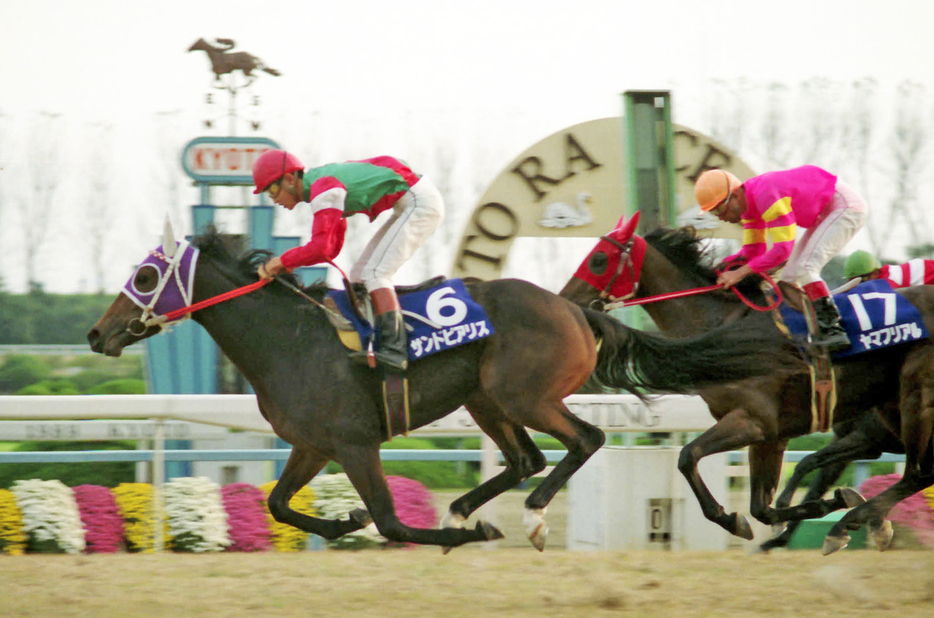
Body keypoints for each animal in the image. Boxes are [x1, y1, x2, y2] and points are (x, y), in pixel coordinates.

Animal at [89, 225, 804, 548]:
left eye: (145, 279)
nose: (99, 335)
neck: (288, 339)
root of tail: (576, 310)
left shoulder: (355, 444)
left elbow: (389, 520)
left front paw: (456, 533)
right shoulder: (312, 445)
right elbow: (278, 505)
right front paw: (343, 519)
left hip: (524, 395)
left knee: (583, 440)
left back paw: (529, 517)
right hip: (484, 397)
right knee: (527, 457)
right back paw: (468, 507)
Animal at [560, 214, 934, 552]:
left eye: (598, 260)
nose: (567, 301)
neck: (725, 330)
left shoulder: (754, 421)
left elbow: (688, 456)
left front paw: (733, 519)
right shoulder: (772, 434)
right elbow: (762, 506)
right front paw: (820, 506)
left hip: (914, 400)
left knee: (919, 473)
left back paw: (847, 524)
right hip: (891, 410)